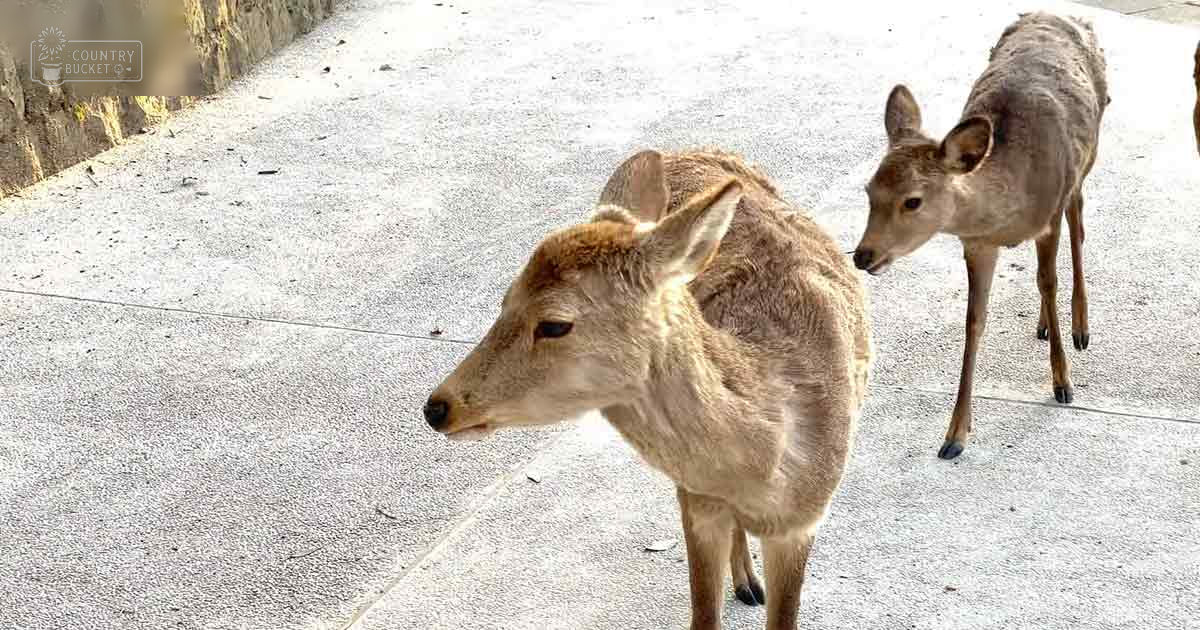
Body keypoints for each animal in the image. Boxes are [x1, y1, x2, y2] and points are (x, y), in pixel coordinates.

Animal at [423, 148, 872, 629]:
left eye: (554, 324)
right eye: (504, 300)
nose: (438, 407)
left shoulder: (805, 521)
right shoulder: (698, 504)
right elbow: (703, 615)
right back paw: (746, 581)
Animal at [853, 12, 1109, 460]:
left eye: (913, 201)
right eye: (869, 191)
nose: (863, 255)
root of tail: (1059, 13)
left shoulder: (1048, 217)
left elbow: (1048, 282)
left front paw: (1063, 384)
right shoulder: (977, 244)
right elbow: (975, 319)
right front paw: (954, 435)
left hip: (1085, 162)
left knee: (1078, 225)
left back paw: (1080, 328)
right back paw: (1044, 325)